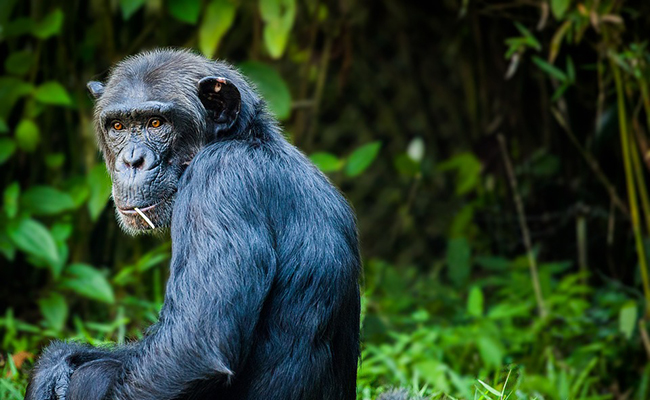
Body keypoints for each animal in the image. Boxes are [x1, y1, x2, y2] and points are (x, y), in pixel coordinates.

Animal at [25, 48, 360, 398]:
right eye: (118, 126)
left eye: (156, 123)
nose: (131, 160)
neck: (243, 139)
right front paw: (54, 366)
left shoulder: (218, 182)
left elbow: (191, 347)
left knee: (97, 374)